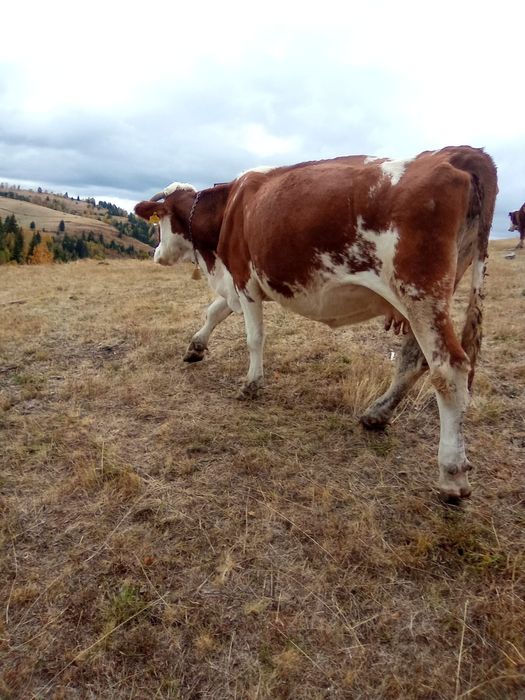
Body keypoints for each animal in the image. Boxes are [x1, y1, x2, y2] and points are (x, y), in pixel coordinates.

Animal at [135, 146, 497, 500]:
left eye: (158, 222)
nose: (155, 255)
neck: (229, 209)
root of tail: (455, 153)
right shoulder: (237, 283)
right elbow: (214, 311)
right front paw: (196, 347)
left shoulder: (244, 278)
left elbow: (254, 337)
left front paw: (251, 383)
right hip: (427, 296)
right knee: (415, 359)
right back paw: (377, 414)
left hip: (420, 292)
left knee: (449, 369)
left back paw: (451, 472)